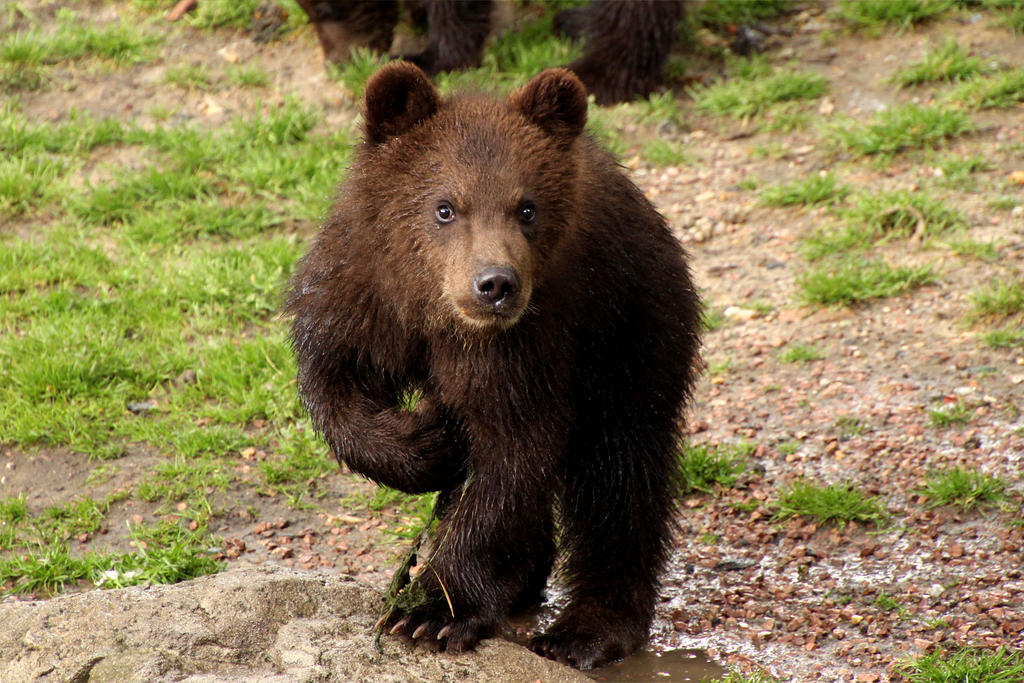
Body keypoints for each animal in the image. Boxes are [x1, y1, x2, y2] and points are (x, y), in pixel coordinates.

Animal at [285, 62, 702, 669]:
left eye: (526, 207)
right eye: (444, 206)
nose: (495, 284)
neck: (433, 312)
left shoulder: (524, 347)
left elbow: (512, 454)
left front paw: (431, 610)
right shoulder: (360, 296)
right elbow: (334, 386)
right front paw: (427, 441)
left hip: (631, 331)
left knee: (621, 471)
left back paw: (589, 627)